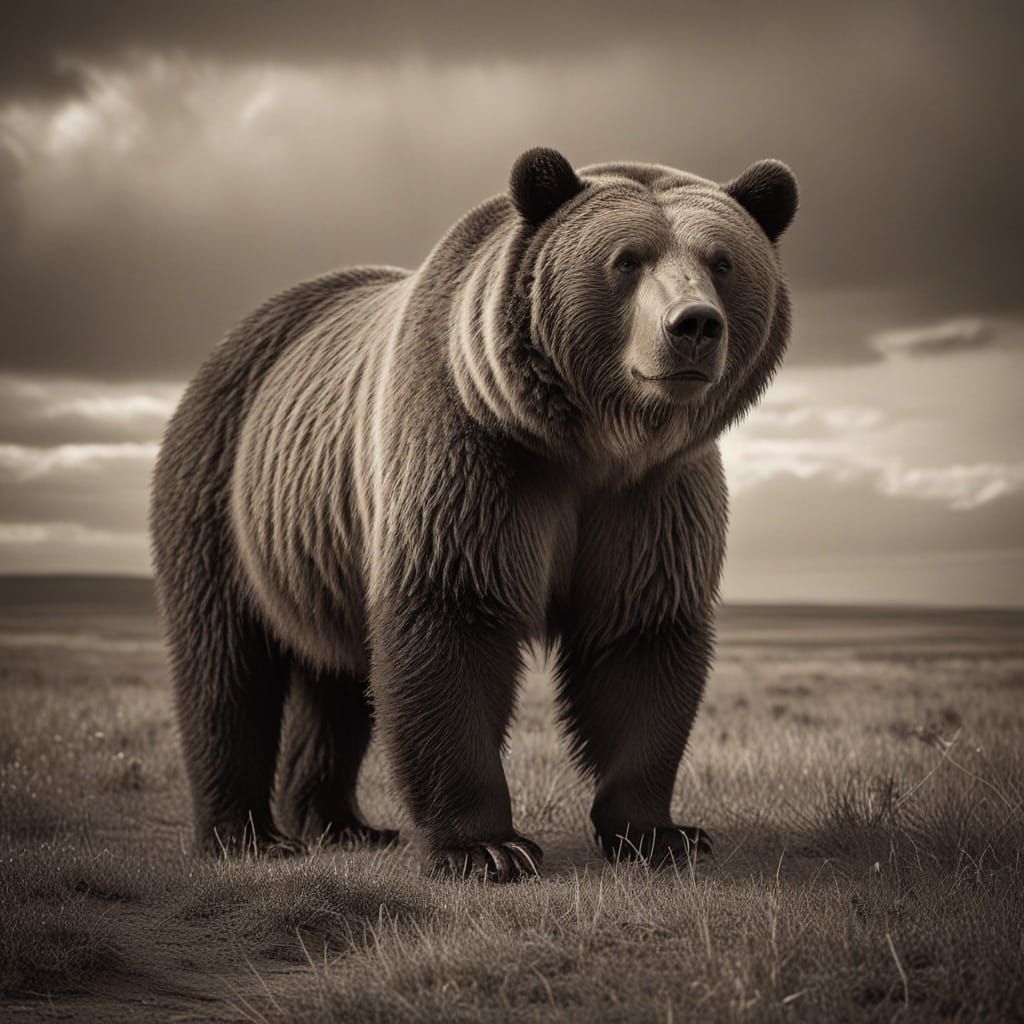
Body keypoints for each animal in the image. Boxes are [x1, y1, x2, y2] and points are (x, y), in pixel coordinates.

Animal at [151, 147, 797, 881]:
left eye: (722, 260)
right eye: (627, 259)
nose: (693, 325)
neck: (594, 443)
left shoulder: (652, 498)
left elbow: (641, 637)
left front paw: (662, 832)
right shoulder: (476, 456)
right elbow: (452, 616)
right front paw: (487, 847)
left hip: (320, 548)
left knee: (338, 681)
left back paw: (344, 824)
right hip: (221, 487)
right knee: (226, 665)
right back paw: (248, 834)